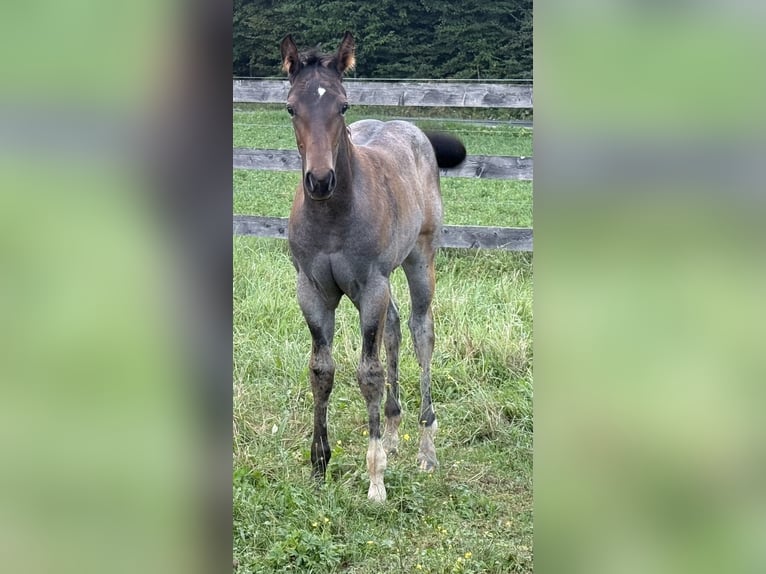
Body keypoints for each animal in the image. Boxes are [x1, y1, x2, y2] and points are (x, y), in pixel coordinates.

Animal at [280, 31, 466, 502]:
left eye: (343, 105)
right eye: (291, 107)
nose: (320, 180)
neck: (333, 216)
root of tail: (411, 129)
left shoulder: (371, 286)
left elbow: (369, 373)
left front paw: (376, 479)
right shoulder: (311, 291)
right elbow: (321, 369)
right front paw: (319, 463)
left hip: (418, 260)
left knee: (421, 331)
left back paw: (425, 447)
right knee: (395, 328)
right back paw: (396, 431)